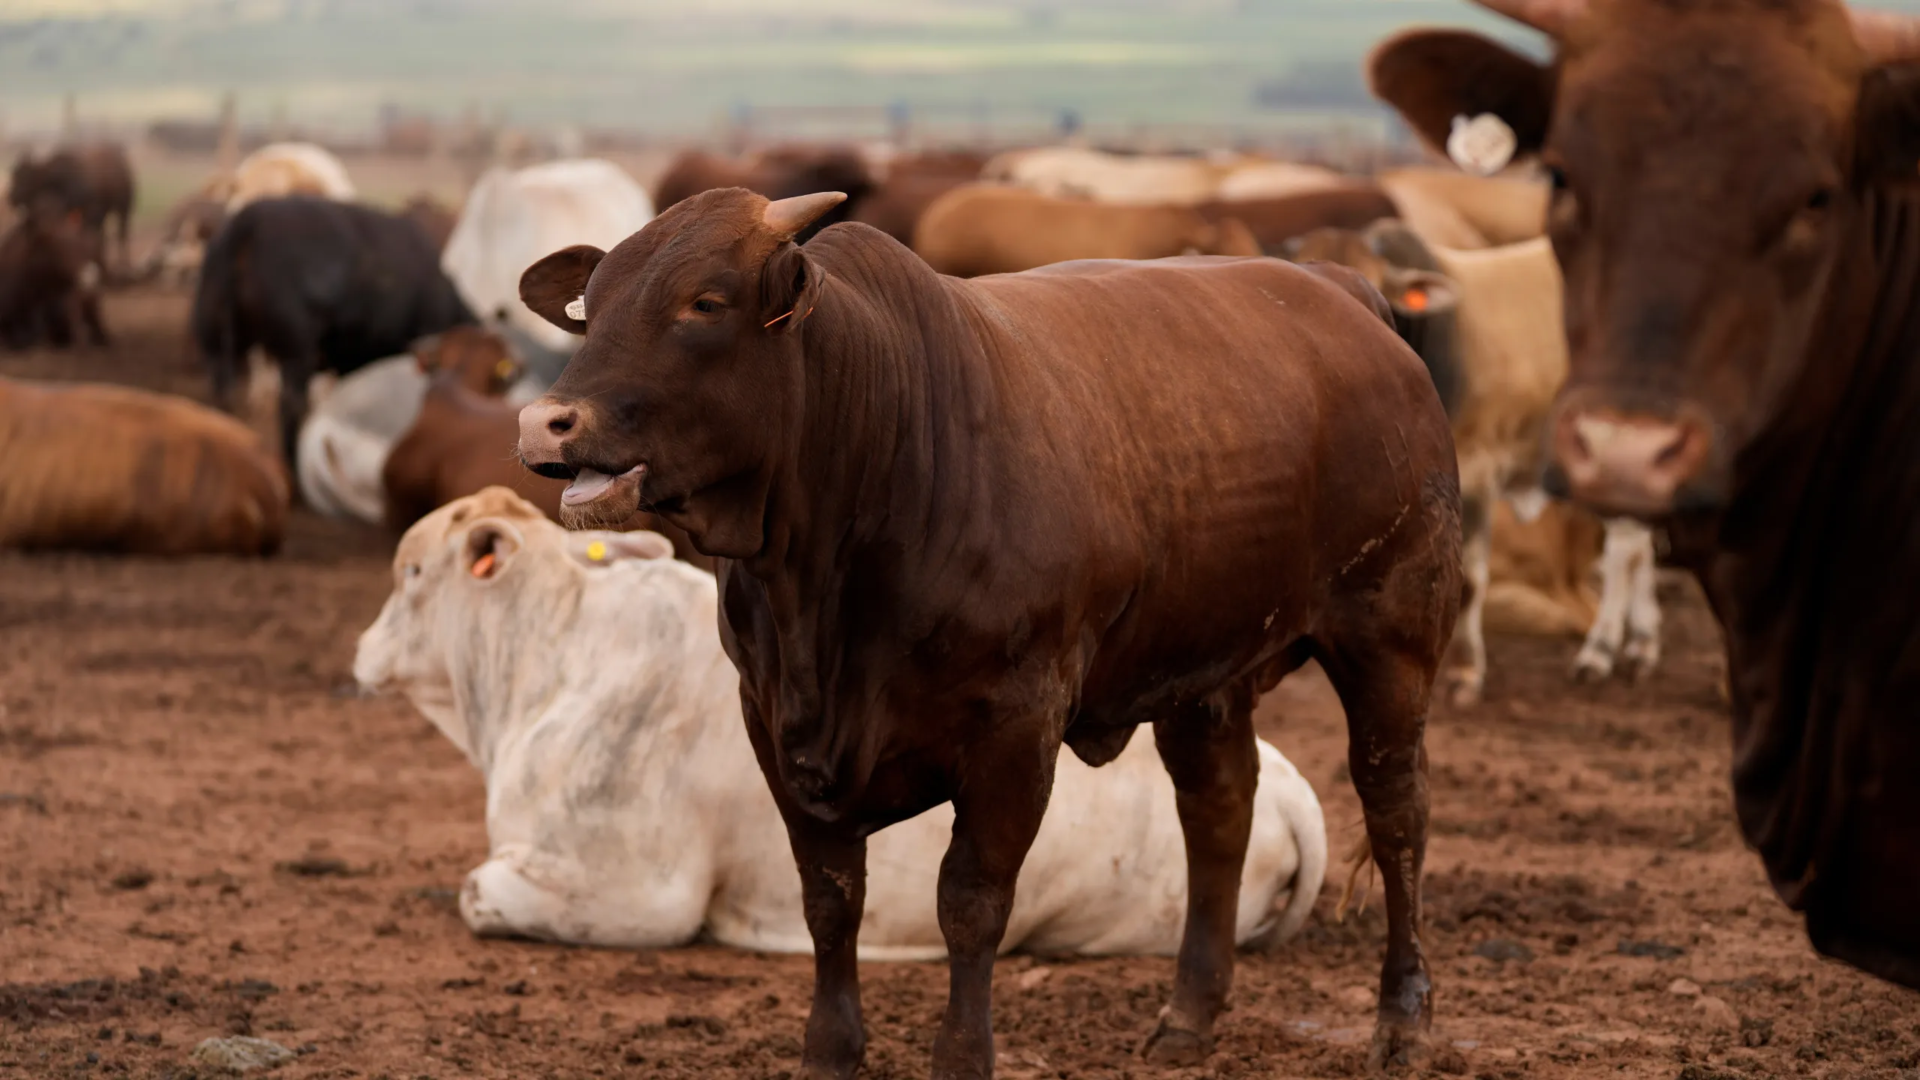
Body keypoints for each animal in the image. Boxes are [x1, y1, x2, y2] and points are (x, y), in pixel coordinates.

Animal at [8, 143, 134, 274]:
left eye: (26, 177)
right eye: (15, 175)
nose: (12, 196)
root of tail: (122, 164)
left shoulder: (89, 213)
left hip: (123, 209)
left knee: (122, 233)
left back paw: (124, 263)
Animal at [355, 487, 1328, 955]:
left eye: (409, 573)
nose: (360, 650)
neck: (545, 663)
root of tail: (1290, 790)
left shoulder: (639, 892)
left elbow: (478, 890)